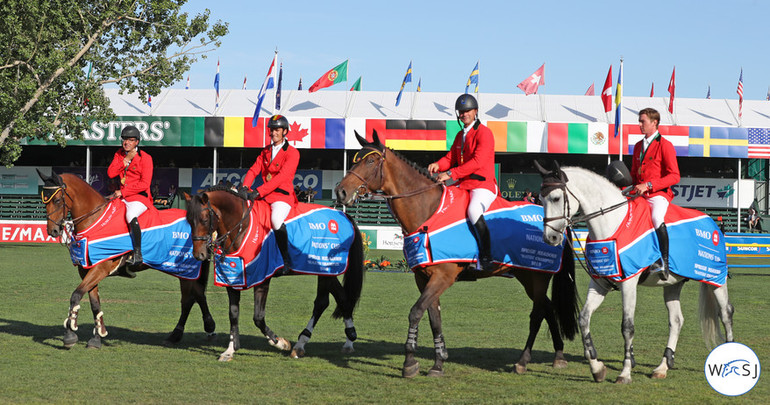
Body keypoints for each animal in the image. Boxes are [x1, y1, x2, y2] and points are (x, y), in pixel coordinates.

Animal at [36, 169, 214, 348]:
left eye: (57, 200)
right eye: (44, 201)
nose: (52, 231)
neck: (95, 220)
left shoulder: (100, 269)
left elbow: (76, 295)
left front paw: (69, 334)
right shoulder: (87, 270)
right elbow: (94, 304)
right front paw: (97, 338)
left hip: (186, 269)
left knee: (192, 297)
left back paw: (201, 328)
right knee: (193, 297)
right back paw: (183, 333)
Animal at [183, 185, 364, 360]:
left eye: (204, 219)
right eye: (189, 221)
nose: (199, 255)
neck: (242, 227)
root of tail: (343, 215)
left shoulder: (263, 280)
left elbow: (258, 318)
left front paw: (280, 342)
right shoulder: (232, 277)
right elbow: (233, 314)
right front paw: (230, 350)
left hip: (327, 269)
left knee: (327, 301)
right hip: (324, 272)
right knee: (337, 299)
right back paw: (338, 341)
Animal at [332, 131, 580, 378]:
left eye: (370, 161)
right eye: (354, 160)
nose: (340, 192)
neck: (428, 211)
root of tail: (556, 222)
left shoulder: (443, 277)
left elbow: (415, 312)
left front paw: (409, 362)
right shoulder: (424, 278)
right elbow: (434, 318)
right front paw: (438, 363)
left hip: (538, 276)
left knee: (538, 313)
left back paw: (524, 361)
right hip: (527, 276)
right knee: (548, 308)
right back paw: (558, 356)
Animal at [536, 161, 732, 382]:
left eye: (556, 198)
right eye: (540, 199)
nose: (549, 238)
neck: (612, 224)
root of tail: (712, 221)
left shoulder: (629, 283)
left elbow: (627, 327)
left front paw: (625, 373)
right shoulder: (600, 283)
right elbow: (584, 319)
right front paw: (597, 368)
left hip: (715, 278)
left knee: (726, 314)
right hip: (673, 284)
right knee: (676, 321)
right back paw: (662, 367)